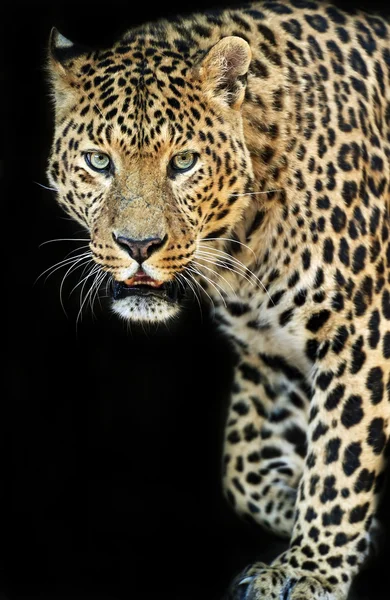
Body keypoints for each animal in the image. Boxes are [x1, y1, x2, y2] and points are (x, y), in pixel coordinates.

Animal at [46, 1, 390, 600]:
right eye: (98, 161)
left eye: (183, 162)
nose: (139, 246)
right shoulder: (269, 347)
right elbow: (241, 465)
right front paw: (304, 520)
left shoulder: (360, 329)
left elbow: (340, 456)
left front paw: (311, 570)